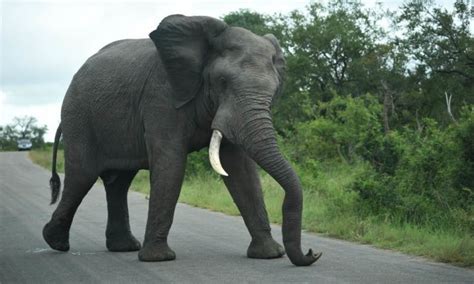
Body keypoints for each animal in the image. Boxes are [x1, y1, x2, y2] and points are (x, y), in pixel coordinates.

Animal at [42, 13, 322, 266]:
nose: (312, 253)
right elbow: (171, 165)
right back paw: (56, 242)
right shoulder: (161, 96)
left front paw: (269, 255)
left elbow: (240, 170)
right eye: (222, 82)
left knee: (118, 182)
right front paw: (158, 259)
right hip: (79, 116)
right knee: (82, 176)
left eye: (274, 91)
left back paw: (123, 247)